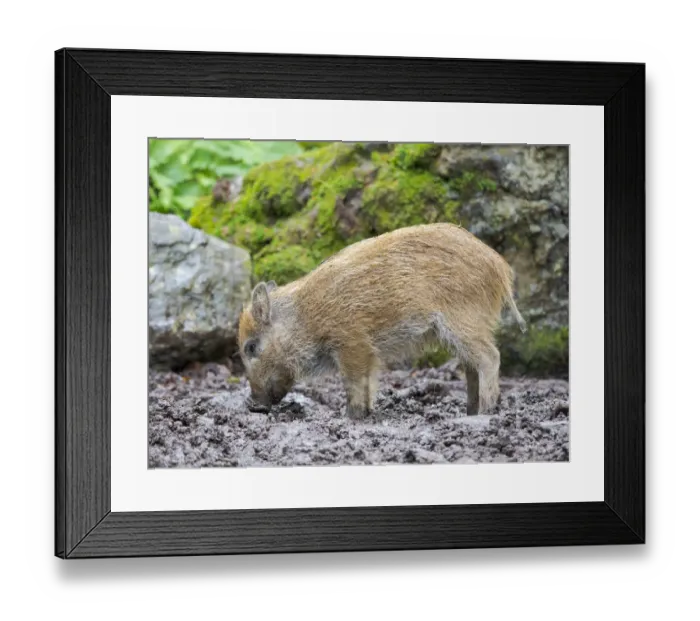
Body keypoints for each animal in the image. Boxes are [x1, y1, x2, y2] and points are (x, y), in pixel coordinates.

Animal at [238, 223, 527, 419]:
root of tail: (501, 268)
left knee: (490, 357)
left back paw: (485, 413)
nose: (254, 404)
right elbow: (367, 383)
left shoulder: (353, 343)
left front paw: (351, 417)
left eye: (251, 347)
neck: (307, 318)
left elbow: (354, 382)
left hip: (464, 322)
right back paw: (469, 412)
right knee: (471, 367)